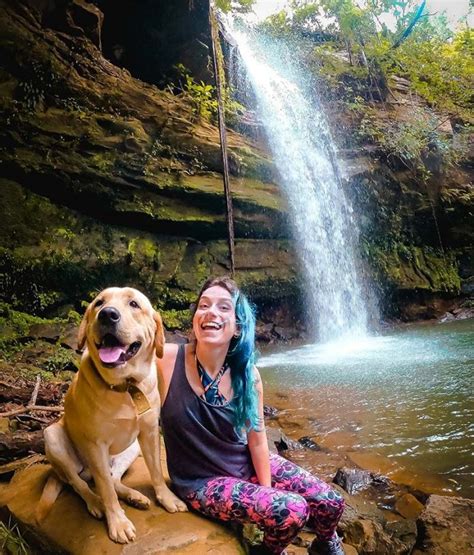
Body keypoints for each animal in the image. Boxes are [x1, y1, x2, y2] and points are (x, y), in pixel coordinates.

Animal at [36, 288, 187, 544]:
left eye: (134, 304)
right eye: (99, 303)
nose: (107, 314)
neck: (126, 386)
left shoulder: (149, 433)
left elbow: (156, 471)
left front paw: (167, 498)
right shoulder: (95, 445)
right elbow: (105, 488)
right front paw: (118, 522)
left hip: (131, 448)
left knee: (113, 478)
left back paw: (135, 496)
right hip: (53, 437)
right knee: (81, 483)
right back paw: (96, 503)